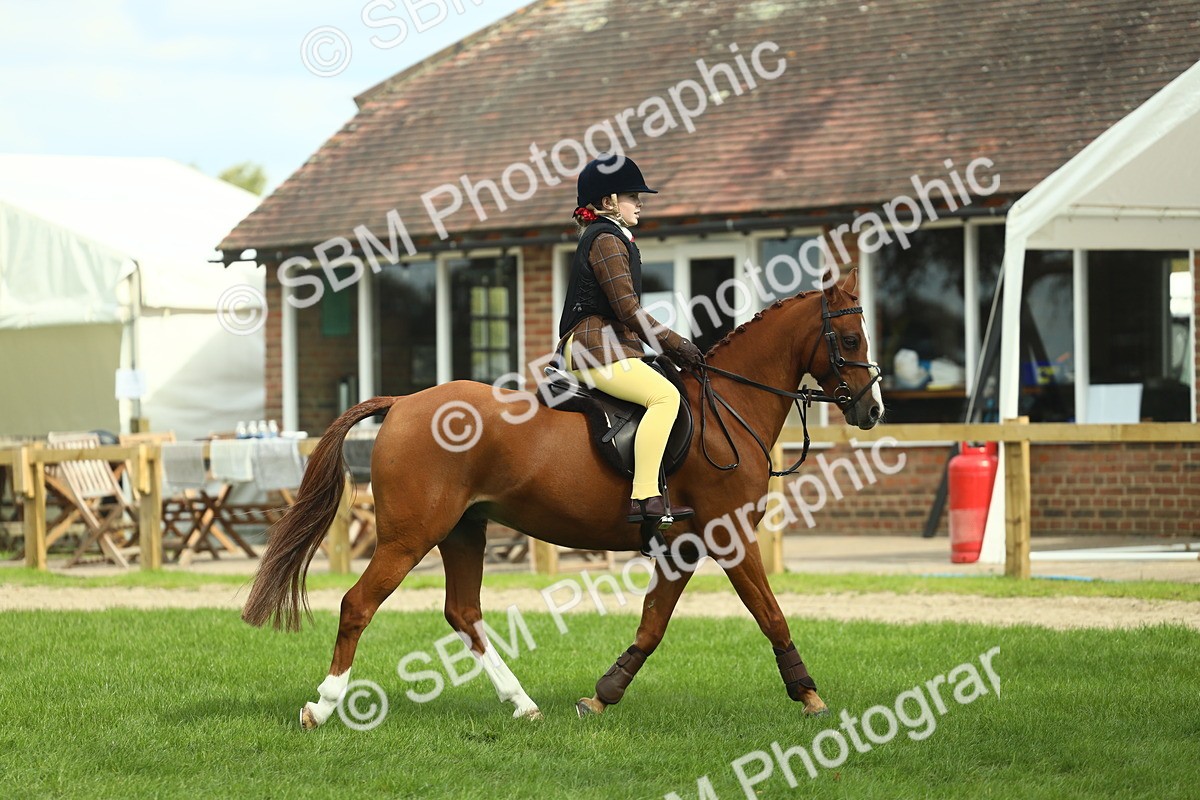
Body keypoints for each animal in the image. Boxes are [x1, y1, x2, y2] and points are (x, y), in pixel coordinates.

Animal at [242, 269, 883, 728]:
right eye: (850, 337)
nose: (871, 408)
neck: (724, 407)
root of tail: (401, 403)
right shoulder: (729, 536)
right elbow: (770, 613)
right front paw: (810, 696)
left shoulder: (683, 545)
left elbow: (653, 625)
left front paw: (602, 696)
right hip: (410, 536)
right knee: (358, 605)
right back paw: (322, 707)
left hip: (463, 531)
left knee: (464, 613)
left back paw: (523, 704)